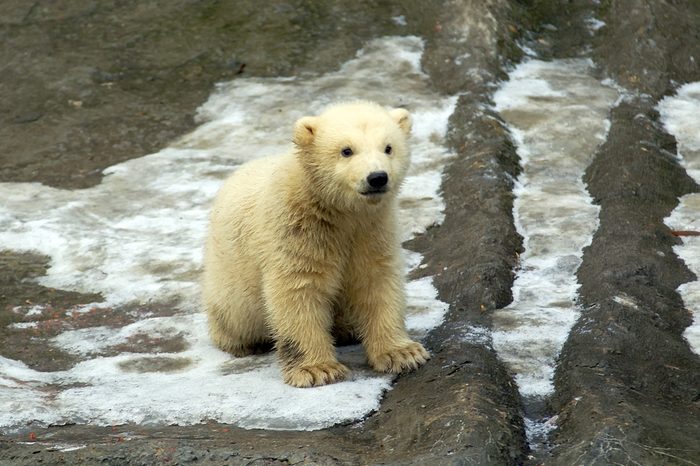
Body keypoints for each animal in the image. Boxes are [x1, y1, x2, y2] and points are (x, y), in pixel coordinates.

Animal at [202, 101, 429, 388]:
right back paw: (242, 343)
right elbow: (299, 289)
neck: (338, 212)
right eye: (346, 150)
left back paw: (347, 329)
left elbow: (376, 281)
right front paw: (318, 369)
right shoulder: (296, 230)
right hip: (229, 280)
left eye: (388, 147)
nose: (377, 177)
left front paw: (402, 353)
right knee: (234, 315)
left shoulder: (372, 230)